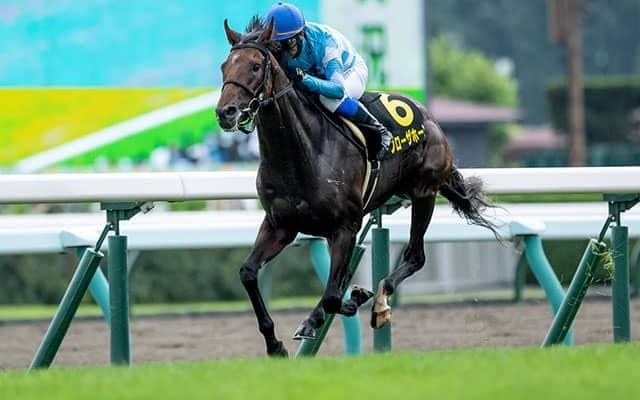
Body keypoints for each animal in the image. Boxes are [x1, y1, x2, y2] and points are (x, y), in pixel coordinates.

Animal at [215, 17, 499, 357]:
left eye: (256, 66)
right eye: (224, 67)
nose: (225, 112)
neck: (302, 154)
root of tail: (431, 118)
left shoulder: (345, 226)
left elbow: (333, 296)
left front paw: (356, 299)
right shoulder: (280, 225)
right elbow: (248, 273)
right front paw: (275, 344)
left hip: (424, 192)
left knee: (414, 256)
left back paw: (379, 302)